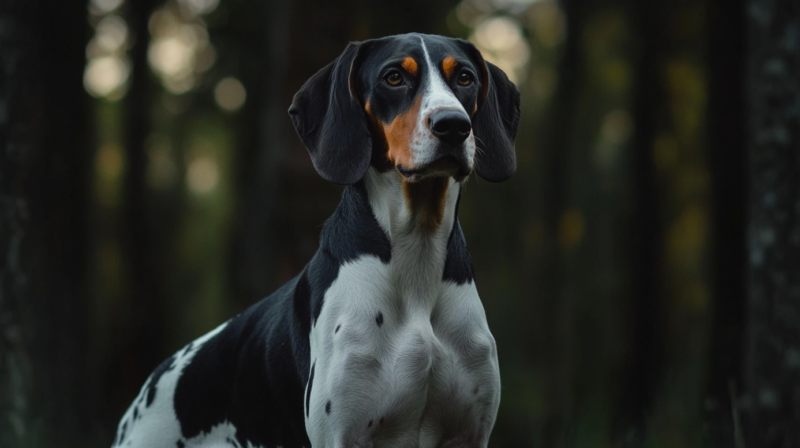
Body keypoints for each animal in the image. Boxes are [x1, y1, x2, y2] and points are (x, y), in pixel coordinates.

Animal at [112, 32, 520, 448]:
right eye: (393, 77)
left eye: (465, 77)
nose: (453, 125)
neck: (416, 254)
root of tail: (144, 393)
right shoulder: (341, 435)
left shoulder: (470, 434)